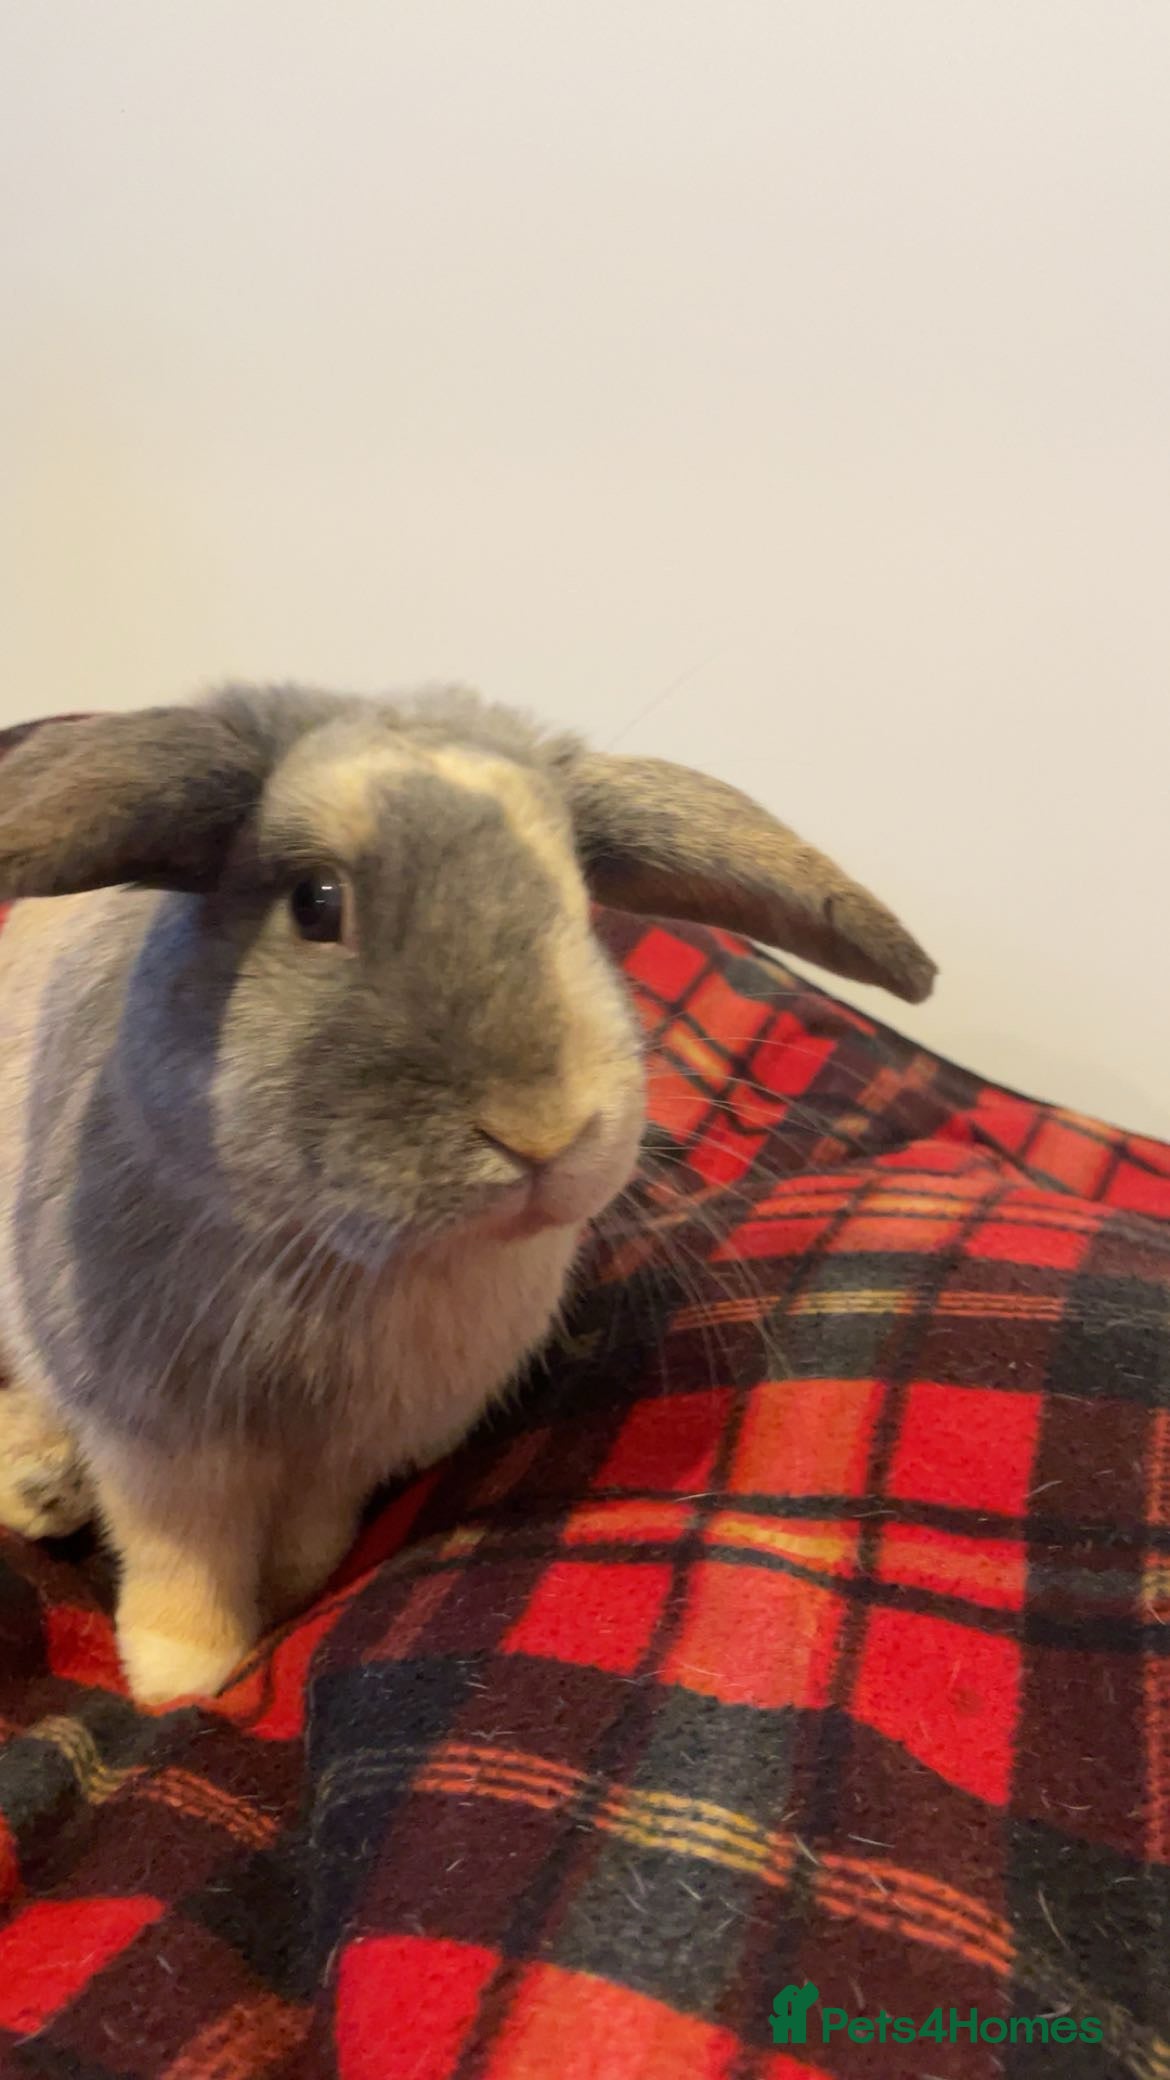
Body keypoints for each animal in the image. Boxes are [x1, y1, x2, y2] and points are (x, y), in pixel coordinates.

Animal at [0, 685, 934, 1705]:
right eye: (316, 901)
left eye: (580, 900)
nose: (544, 1133)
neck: (345, 1263)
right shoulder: (159, 1445)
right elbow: (182, 1561)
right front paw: (184, 1681)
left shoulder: (345, 1457)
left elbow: (307, 1538)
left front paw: (287, 1606)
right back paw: (36, 1487)